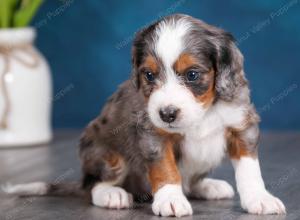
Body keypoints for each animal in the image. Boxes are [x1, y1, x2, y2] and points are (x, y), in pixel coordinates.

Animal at [4, 14, 286, 217]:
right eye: (149, 75)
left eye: (192, 75)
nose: (167, 114)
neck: (203, 112)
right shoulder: (153, 132)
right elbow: (165, 169)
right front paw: (171, 199)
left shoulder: (241, 125)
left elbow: (250, 169)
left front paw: (259, 198)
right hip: (106, 154)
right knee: (93, 185)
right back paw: (112, 195)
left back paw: (208, 186)